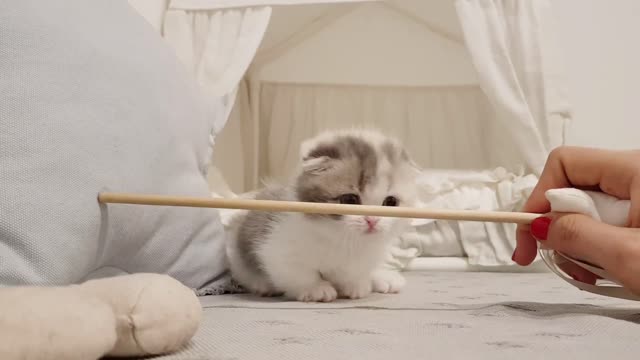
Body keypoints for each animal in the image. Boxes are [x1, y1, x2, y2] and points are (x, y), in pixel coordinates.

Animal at [225, 128, 420, 302]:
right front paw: (316, 289)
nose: (372, 220)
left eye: (390, 202)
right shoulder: (275, 247)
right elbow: (297, 272)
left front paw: (355, 285)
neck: (341, 237)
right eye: (349, 199)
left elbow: (353, 272)